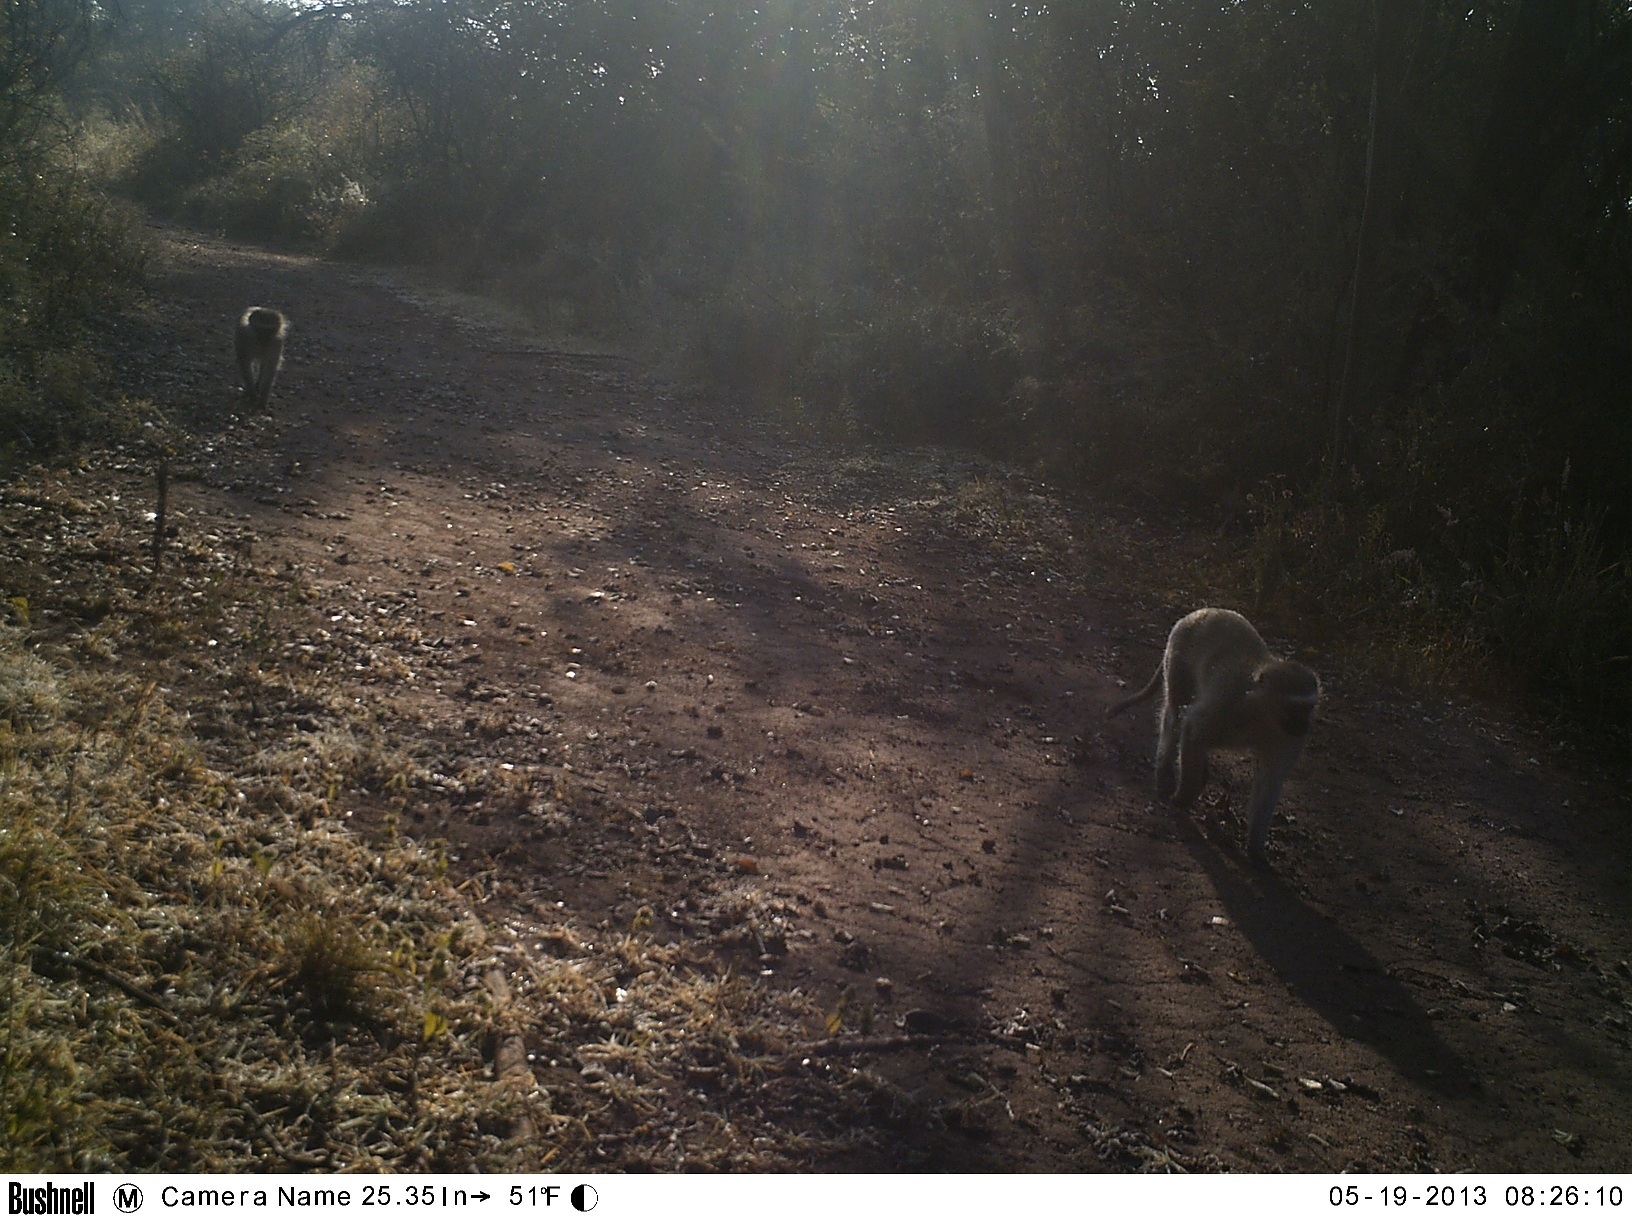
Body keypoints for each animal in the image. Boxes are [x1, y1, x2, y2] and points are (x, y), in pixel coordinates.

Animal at [1109, 610, 1325, 861]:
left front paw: (1256, 850)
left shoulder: (1287, 739)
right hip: (1178, 656)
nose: (1304, 725)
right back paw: (1165, 772)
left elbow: (1270, 780)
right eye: (1294, 708)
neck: (1262, 715)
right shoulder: (1227, 704)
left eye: (1309, 707)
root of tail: (1195, 614)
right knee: (1175, 713)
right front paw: (1183, 797)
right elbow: (1192, 728)